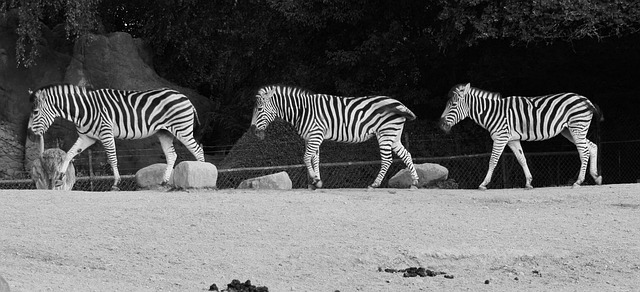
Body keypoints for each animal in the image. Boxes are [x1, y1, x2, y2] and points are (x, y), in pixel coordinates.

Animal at [27, 83, 205, 190]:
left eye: (35, 112)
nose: (29, 133)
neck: (84, 109)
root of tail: (185, 97)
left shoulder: (106, 132)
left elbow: (112, 158)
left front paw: (115, 183)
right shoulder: (86, 137)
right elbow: (69, 154)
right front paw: (60, 177)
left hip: (182, 129)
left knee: (198, 150)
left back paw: (203, 175)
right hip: (165, 132)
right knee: (172, 155)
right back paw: (165, 181)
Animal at [250, 84, 420, 189]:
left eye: (259, 109)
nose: (252, 131)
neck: (303, 110)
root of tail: (399, 103)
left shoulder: (315, 135)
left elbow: (306, 157)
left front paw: (315, 180)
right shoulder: (312, 137)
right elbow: (315, 159)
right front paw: (317, 182)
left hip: (385, 133)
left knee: (387, 160)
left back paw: (375, 184)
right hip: (394, 135)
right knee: (406, 154)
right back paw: (415, 182)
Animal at [438, 83, 604, 190]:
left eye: (453, 105)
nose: (440, 125)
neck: (492, 113)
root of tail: (585, 100)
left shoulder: (501, 137)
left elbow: (493, 160)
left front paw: (483, 184)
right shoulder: (513, 139)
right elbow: (521, 159)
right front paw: (529, 183)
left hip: (577, 127)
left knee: (584, 151)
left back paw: (579, 181)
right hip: (569, 130)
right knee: (593, 146)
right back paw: (596, 177)